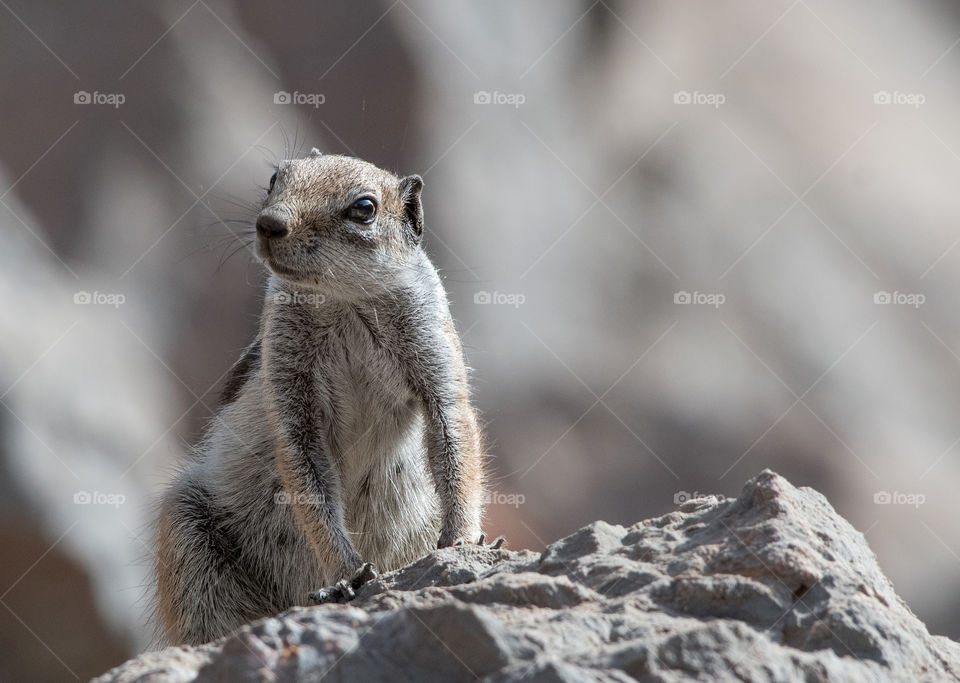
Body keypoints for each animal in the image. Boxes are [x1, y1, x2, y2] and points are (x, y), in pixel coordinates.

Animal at [154, 150, 498, 648]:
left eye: (364, 208)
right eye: (275, 177)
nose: (269, 223)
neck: (341, 299)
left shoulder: (434, 344)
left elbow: (453, 429)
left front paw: (463, 541)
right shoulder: (287, 380)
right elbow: (306, 473)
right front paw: (348, 574)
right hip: (186, 532)